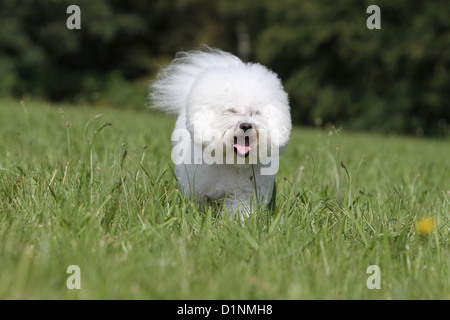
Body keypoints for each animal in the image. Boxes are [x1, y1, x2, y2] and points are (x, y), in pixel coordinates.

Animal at [149, 47, 292, 218]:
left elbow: (241, 211)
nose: (246, 125)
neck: (232, 162)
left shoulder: (245, 195)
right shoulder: (200, 191)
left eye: (256, 112)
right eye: (231, 110)